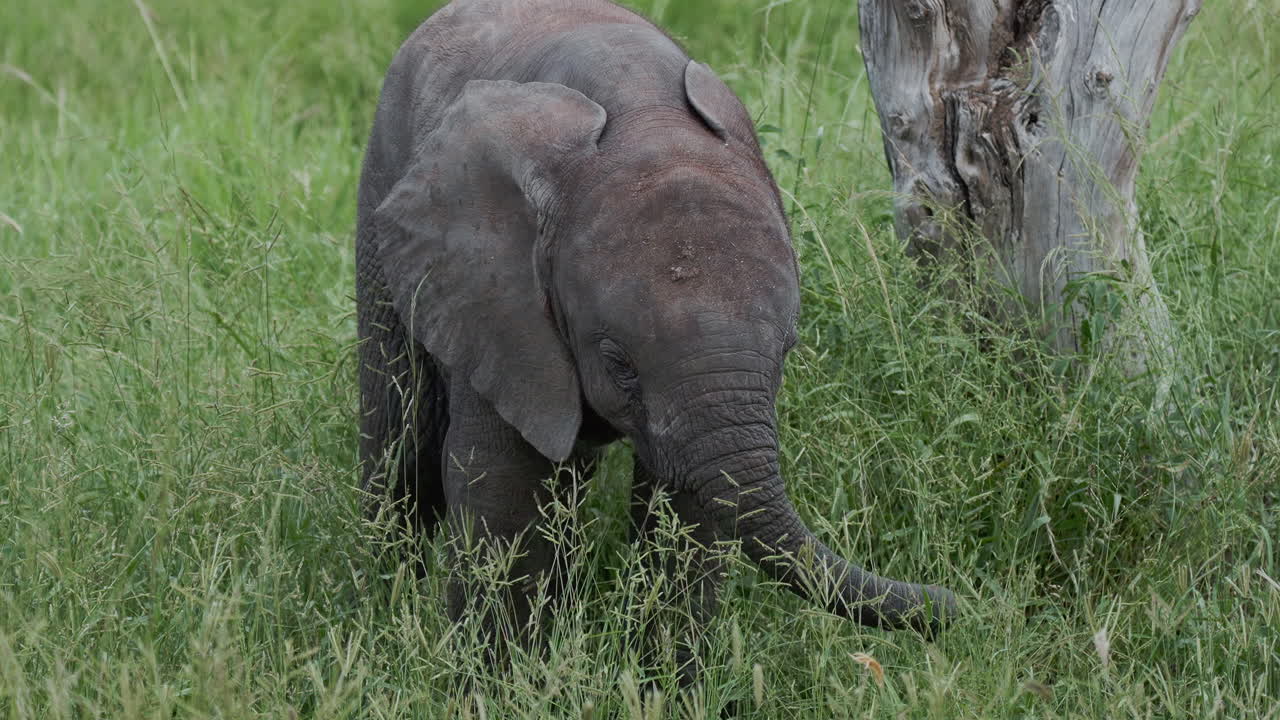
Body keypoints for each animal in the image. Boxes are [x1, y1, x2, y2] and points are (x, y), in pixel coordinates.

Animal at [355, 0, 955, 678]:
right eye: (619, 364)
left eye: (786, 353)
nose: (952, 604)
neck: (642, 114)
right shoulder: (496, 302)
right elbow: (504, 485)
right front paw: (498, 684)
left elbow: (687, 509)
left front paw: (664, 685)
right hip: (383, 201)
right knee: (402, 433)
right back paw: (385, 604)